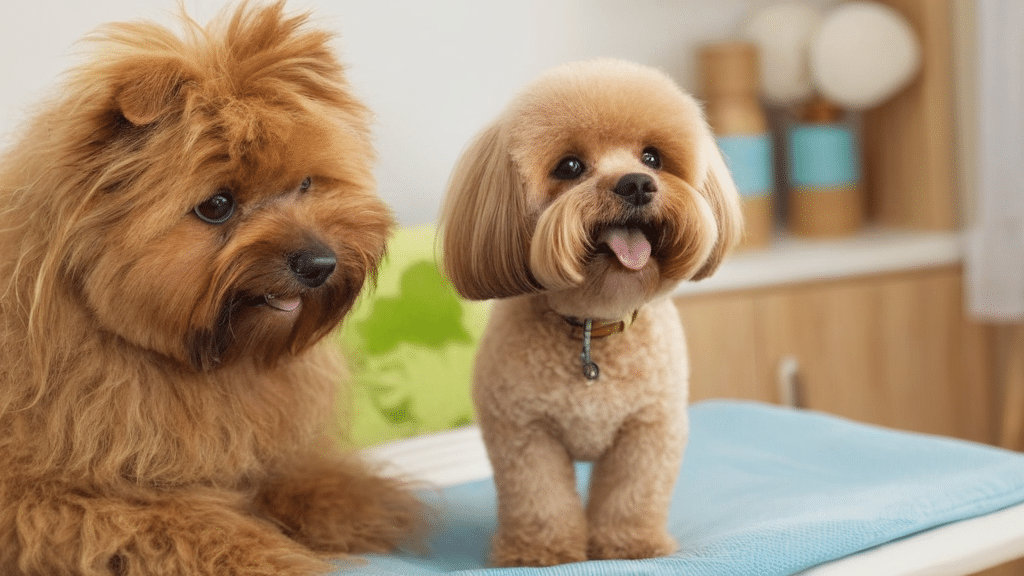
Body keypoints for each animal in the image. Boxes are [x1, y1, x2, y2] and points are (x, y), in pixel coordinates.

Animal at [0, 2, 419, 569]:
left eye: (307, 183)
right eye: (217, 205)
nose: (320, 263)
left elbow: (293, 475)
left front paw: (350, 502)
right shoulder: (46, 498)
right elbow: (178, 522)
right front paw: (267, 556)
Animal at [440, 59, 745, 565]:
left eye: (652, 158)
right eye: (570, 166)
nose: (637, 184)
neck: (592, 325)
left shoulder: (646, 431)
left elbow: (631, 495)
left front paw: (631, 545)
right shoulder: (526, 434)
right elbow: (540, 499)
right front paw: (541, 552)